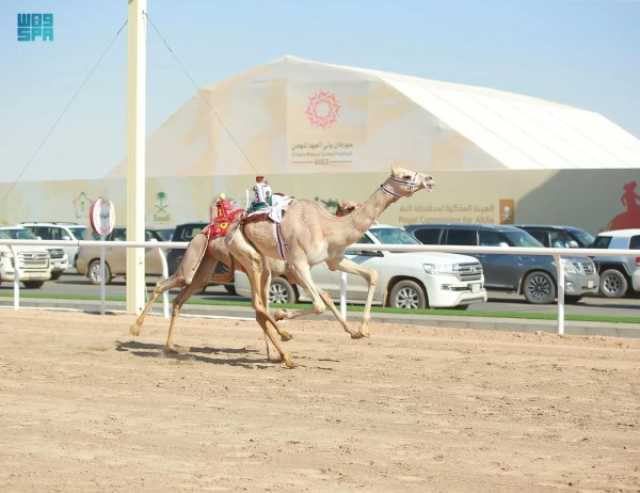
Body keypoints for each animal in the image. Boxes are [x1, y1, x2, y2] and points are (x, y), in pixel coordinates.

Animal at [226, 167, 436, 368]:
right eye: (406, 176)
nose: (429, 179)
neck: (327, 228)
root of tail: (232, 227)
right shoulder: (297, 262)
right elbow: (319, 305)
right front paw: (281, 315)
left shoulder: (333, 260)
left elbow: (371, 275)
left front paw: (361, 330)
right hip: (249, 256)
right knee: (259, 304)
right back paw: (285, 341)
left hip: (264, 264)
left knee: (260, 307)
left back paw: (283, 355)